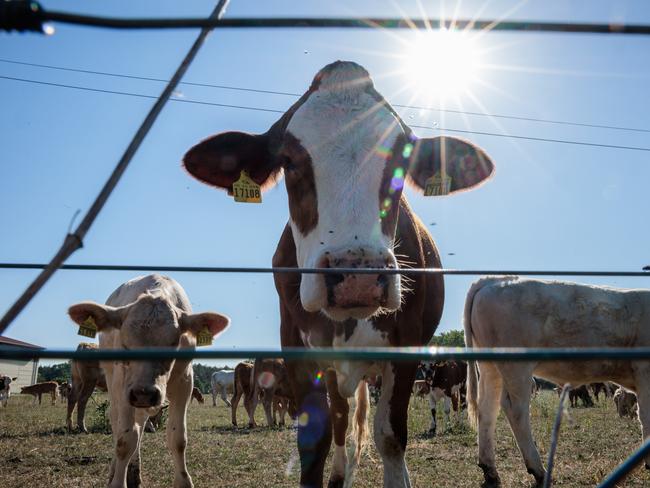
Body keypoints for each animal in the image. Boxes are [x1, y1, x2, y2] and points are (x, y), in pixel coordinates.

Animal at [67, 274, 229, 488]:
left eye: (173, 344)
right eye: (125, 343)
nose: (144, 393)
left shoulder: (185, 382)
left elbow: (177, 438)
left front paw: (183, 481)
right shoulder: (123, 385)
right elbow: (124, 440)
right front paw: (117, 481)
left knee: (139, 424)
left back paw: (134, 472)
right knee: (115, 422)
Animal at [185, 62, 494, 488]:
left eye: (402, 161)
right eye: (290, 161)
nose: (358, 277)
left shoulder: (406, 348)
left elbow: (391, 436)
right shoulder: (298, 352)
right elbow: (317, 437)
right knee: (343, 419)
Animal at [464, 276, 648, 486]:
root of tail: (492, 280)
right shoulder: (645, 372)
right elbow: (645, 415)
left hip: (490, 367)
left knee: (487, 409)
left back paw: (490, 470)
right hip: (516, 367)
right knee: (515, 410)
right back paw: (538, 470)